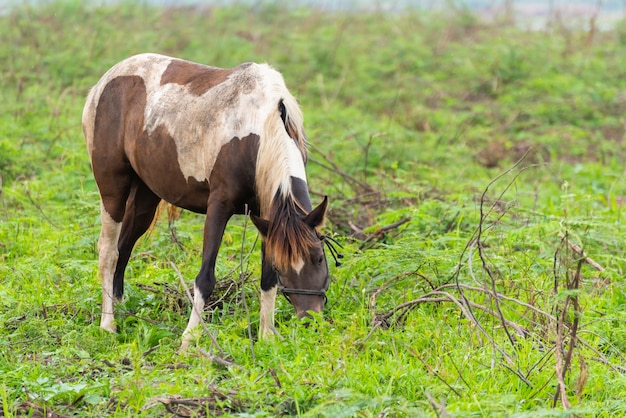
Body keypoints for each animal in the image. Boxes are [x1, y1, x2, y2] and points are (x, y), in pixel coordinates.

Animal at [81, 53, 332, 350]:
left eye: (319, 258)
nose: (310, 320)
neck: (259, 131)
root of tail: (104, 83)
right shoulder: (219, 208)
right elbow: (205, 277)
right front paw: (189, 340)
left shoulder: (267, 216)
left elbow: (267, 278)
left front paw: (267, 336)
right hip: (113, 189)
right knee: (109, 252)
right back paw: (108, 324)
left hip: (145, 197)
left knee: (125, 248)